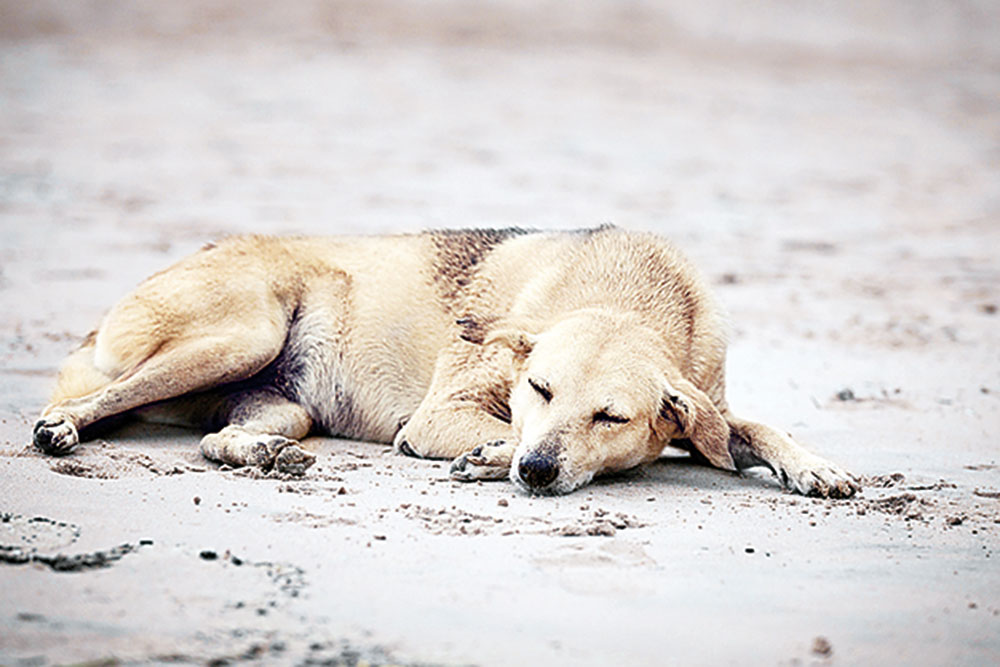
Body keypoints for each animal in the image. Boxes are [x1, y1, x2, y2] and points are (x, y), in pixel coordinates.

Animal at [31, 227, 860, 498]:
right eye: (540, 387)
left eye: (611, 415)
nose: (535, 473)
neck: (629, 292)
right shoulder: (438, 417)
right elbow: (495, 431)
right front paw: (494, 455)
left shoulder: (707, 403)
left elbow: (751, 428)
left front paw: (814, 465)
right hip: (241, 334)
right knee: (82, 400)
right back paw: (61, 428)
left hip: (281, 400)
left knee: (217, 437)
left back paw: (264, 454)